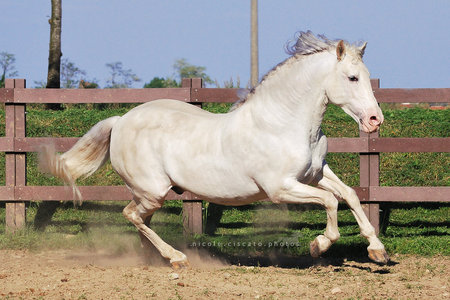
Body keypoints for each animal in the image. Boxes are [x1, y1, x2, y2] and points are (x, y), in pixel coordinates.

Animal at [40, 32, 388, 268]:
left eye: (368, 77)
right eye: (352, 77)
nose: (375, 120)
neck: (282, 123)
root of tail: (121, 120)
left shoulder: (315, 175)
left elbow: (350, 195)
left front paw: (377, 251)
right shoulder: (280, 188)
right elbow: (331, 201)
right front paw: (320, 245)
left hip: (148, 193)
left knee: (140, 220)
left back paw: (153, 261)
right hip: (153, 190)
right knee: (132, 216)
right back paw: (176, 258)